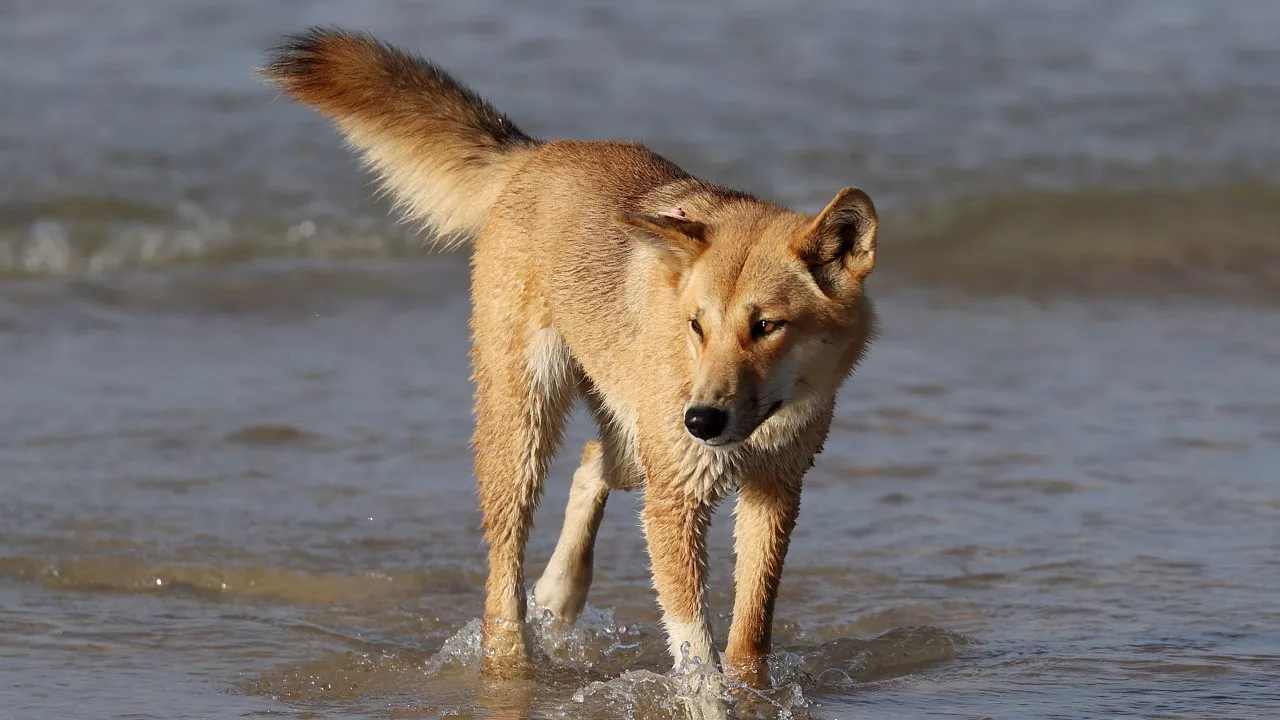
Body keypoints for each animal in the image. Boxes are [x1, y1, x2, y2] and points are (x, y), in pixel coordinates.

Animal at [263, 30, 875, 686]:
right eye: (697, 325)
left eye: (766, 327)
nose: (701, 421)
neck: (761, 427)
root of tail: (538, 154)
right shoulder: (676, 500)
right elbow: (697, 655)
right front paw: (709, 693)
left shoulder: (775, 492)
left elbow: (749, 636)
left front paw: (753, 691)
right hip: (527, 424)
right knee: (503, 570)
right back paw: (514, 657)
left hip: (629, 434)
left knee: (591, 463)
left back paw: (559, 594)